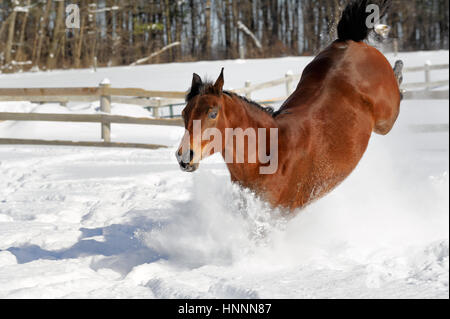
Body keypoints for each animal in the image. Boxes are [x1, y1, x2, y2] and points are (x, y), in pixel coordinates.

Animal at [175, 0, 400, 214]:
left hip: (385, 119)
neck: (268, 153)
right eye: (184, 113)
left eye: (213, 113)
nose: (184, 156)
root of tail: (349, 40)